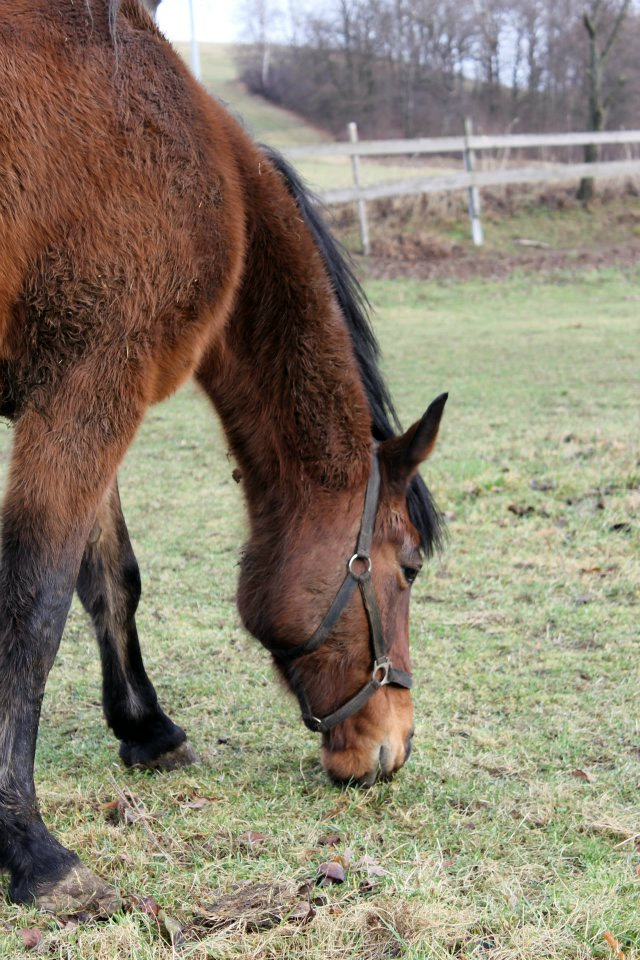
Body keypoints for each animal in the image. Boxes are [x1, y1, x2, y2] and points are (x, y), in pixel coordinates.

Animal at [0, 0, 448, 916]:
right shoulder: (87, 390)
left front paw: (146, 728)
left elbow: (111, 578)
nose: (394, 746)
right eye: (411, 566)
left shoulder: (87, 397)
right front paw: (30, 848)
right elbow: (34, 607)